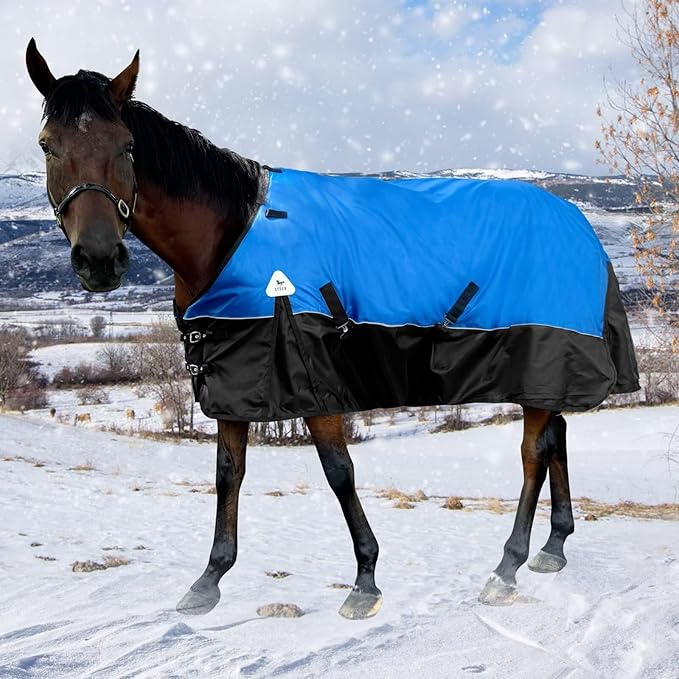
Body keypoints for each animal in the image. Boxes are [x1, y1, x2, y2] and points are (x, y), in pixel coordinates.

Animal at [25, 40, 639, 618]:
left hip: (543, 358)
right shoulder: (233, 377)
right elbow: (229, 473)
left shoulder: (311, 375)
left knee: (533, 453)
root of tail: (579, 225)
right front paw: (209, 579)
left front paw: (365, 581)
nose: (99, 261)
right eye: (47, 145)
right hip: (547, 372)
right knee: (558, 436)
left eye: (127, 146)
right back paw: (553, 548)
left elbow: (338, 471)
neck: (231, 233)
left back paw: (507, 567)